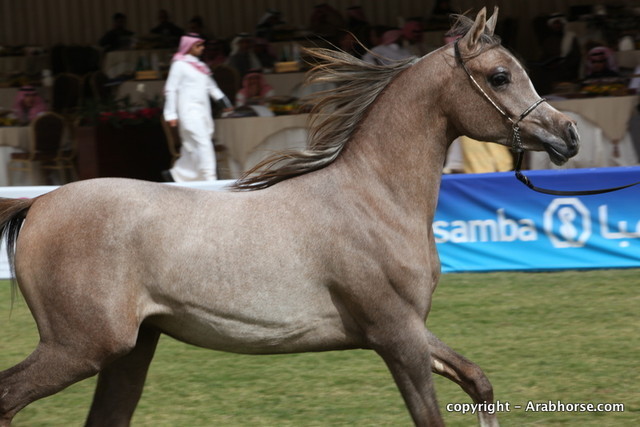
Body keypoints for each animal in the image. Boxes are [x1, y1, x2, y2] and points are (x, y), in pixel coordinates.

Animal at [0, 8, 578, 426]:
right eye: (500, 76)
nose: (568, 134)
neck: (372, 198)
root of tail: (39, 202)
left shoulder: (407, 329)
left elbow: (480, 382)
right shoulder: (396, 336)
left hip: (129, 354)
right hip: (81, 348)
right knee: (8, 397)